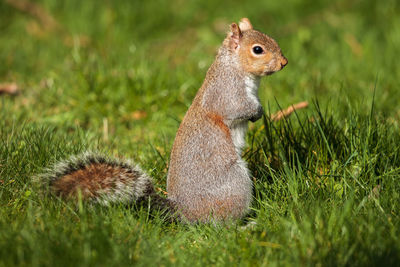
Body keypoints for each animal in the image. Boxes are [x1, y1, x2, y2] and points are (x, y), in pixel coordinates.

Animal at [37, 17, 288, 224]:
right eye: (257, 50)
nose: (284, 63)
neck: (234, 67)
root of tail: (184, 212)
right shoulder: (227, 95)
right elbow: (239, 109)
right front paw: (258, 112)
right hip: (235, 183)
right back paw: (245, 225)